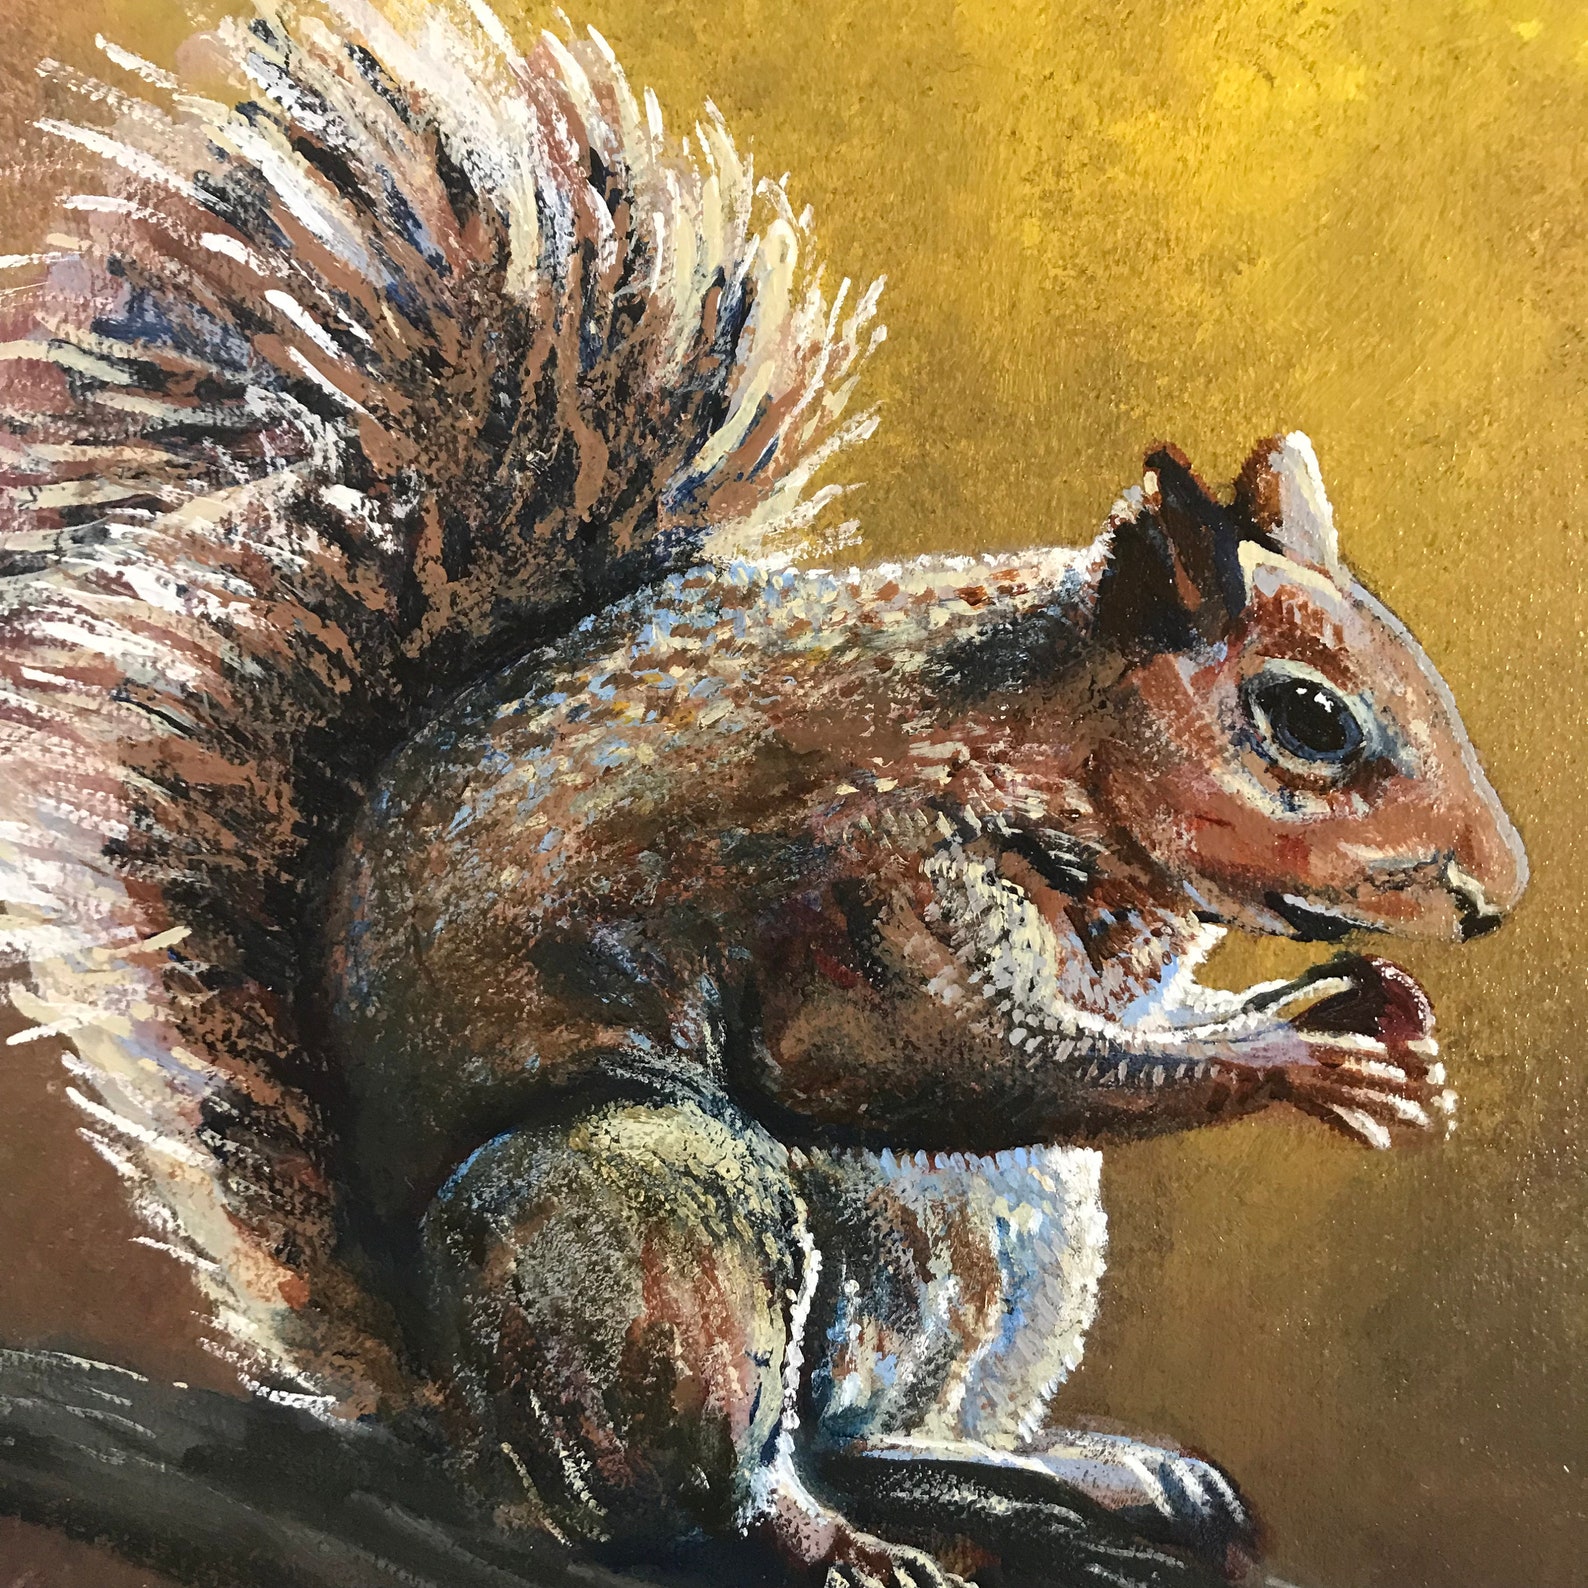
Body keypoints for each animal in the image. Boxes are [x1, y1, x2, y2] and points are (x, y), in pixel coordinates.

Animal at [0, 2, 1526, 1586]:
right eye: (1305, 719)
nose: (1496, 893)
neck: (1041, 740)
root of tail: (454, 1406)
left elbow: (1136, 1030)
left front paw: (1361, 1018)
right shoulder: (861, 884)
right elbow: (895, 1059)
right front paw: (1301, 1059)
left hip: (1024, 1229)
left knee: (866, 1427)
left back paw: (1063, 1474)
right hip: (656, 1218)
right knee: (690, 1483)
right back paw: (826, 1535)